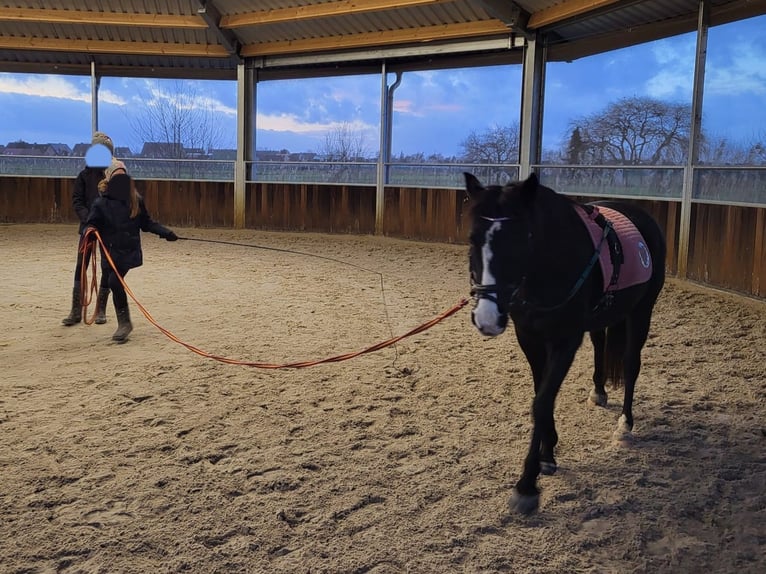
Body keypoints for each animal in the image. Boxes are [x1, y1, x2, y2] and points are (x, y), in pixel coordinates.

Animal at [464, 172, 668, 516]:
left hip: (642, 310)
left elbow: (542, 400)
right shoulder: (529, 336)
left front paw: (526, 486)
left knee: (631, 363)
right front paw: (548, 455)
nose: (487, 318)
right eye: (472, 240)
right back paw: (599, 392)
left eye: (521, 240)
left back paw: (625, 424)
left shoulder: (566, 340)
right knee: (600, 345)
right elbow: (540, 395)